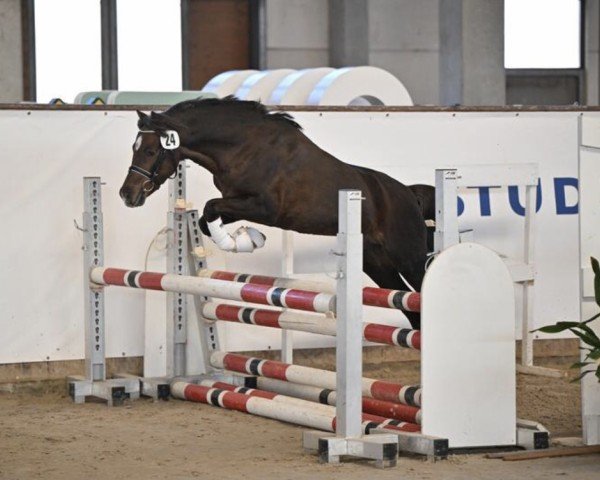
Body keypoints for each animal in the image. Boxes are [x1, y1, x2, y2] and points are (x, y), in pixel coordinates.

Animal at [118, 97, 426, 330]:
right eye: (134, 148)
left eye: (150, 151)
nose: (127, 195)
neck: (243, 147)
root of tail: (410, 194)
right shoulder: (236, 202)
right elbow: (207, 218)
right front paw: (248, 239)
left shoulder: (265, 208)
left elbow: (210, 207)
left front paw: (244, 240)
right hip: (376, 262)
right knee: (408, 306)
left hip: (407, 256)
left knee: (418, 291)